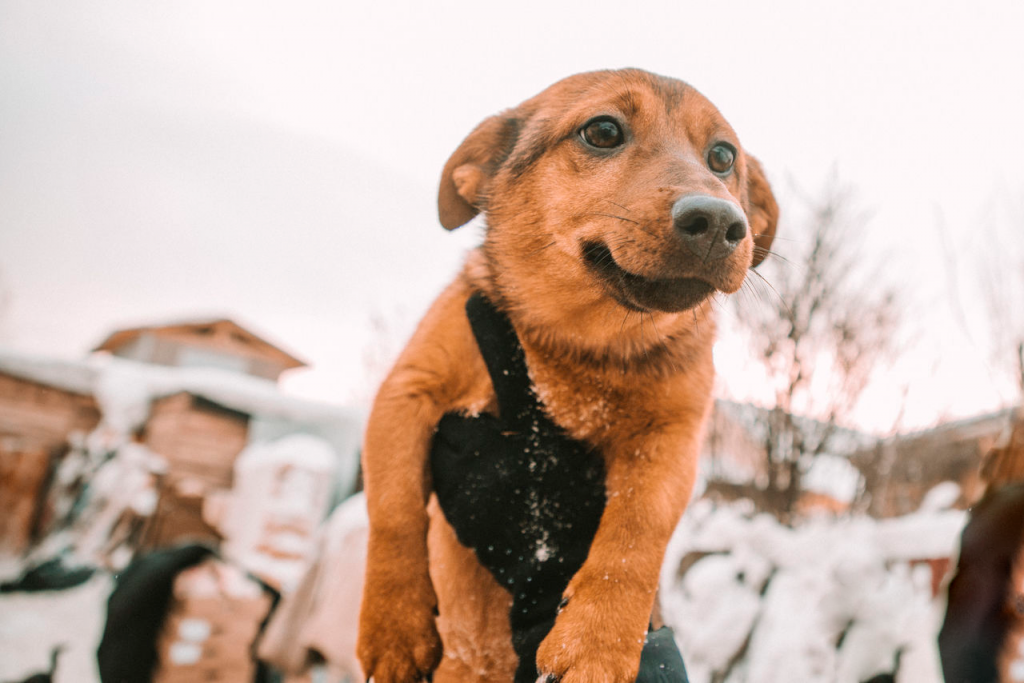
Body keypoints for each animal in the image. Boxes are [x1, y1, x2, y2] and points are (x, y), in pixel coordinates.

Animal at [356, 68, 778, 683]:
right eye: (602, 131)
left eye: (723, 157)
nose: (722, 221)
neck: (584, 347)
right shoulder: (407, 391)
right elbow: (393, 511)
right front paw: (395, 627)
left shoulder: (672, 441)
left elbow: (634, 535)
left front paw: (597, 643)